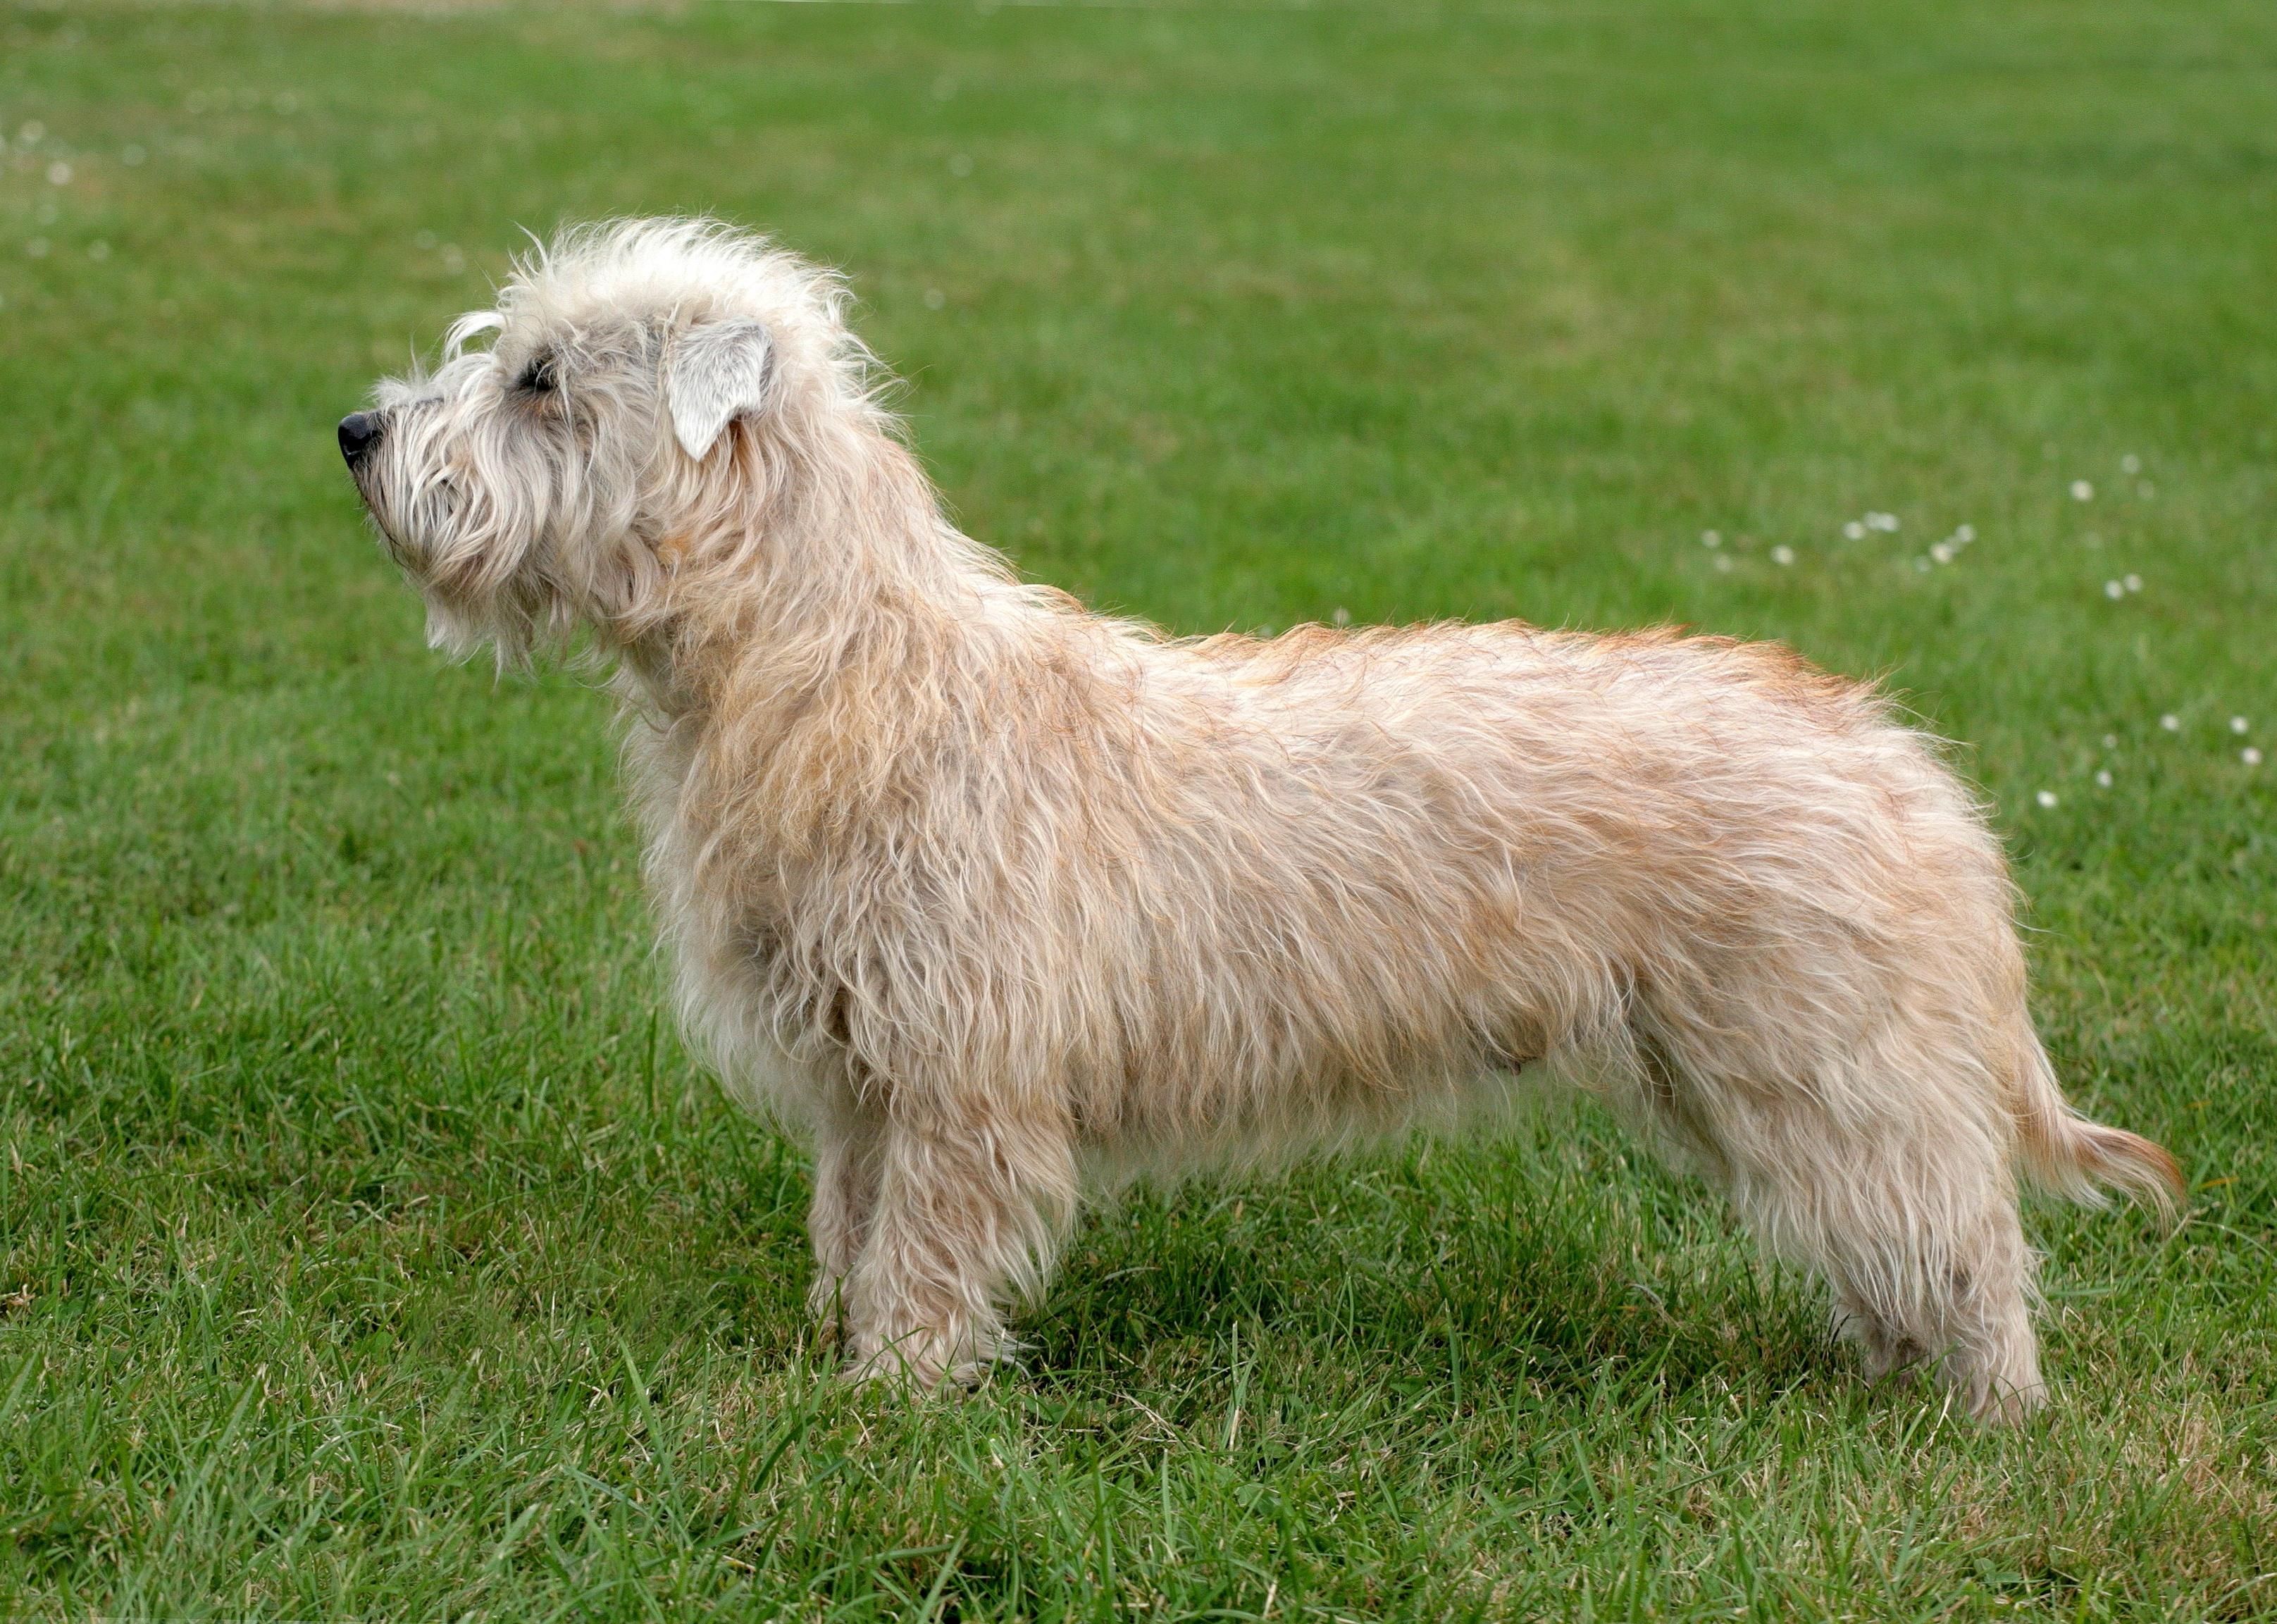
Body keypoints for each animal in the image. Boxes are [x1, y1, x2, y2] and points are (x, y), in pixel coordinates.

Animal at [346, 218, 2176, 1421]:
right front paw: (839, 1354)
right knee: (1901, 1234)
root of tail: (1895, 755)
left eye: (538, 379)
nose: (357, 431)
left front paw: (896, 1404)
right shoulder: (864, 1075)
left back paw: (1986, 1419)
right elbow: (849, 1226)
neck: (834, 670)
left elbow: (928, 1250)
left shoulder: (961, 1079)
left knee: (1959, 1237)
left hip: (1825, 1066)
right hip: (1764, 1077)